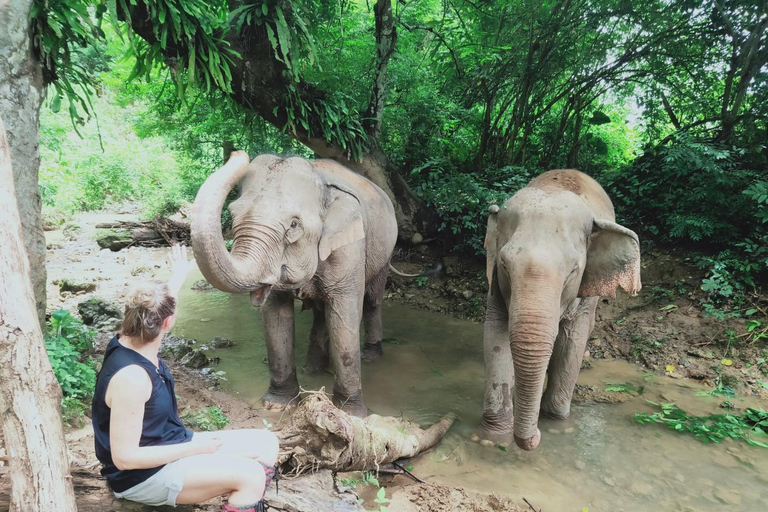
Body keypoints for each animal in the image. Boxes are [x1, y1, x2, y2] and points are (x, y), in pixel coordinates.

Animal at [190, 151, 402, 416]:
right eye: (233, 212)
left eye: (293, 225)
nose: (238, 153)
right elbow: (276, 319)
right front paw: (276, 405)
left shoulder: (350, 246)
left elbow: (344, 315)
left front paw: (351, 414)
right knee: (321, 312)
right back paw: (312, 369)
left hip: (385, 250)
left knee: (372, 301)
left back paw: (370, 355)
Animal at [480, 170, 640, 450]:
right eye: (504, 264)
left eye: (573, 270)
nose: (535, 438)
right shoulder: (495, 283)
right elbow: (495, 335)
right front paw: (493, 438)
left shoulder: (584, 293)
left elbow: (572, 341)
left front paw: (556, 426)